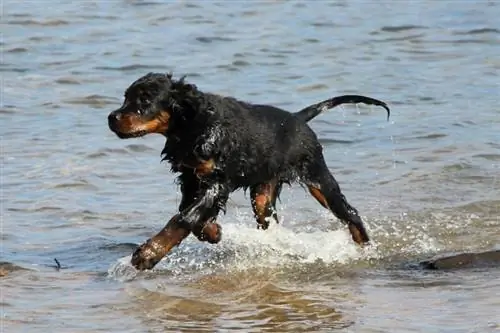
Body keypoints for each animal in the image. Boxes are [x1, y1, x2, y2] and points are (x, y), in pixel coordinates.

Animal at [108, 72, 390, 270]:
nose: (112, 118)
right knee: (268, 219)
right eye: (125, 97)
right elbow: (190, 213)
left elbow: (184, 218)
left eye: (145, 100)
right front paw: (213, 232)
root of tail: (298, 118)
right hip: (264, 192)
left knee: (349, 212)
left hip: (316, 176)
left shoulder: (217, 180)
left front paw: (148, 254)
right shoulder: (191, 177)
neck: (192, 125)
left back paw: (365, 246)